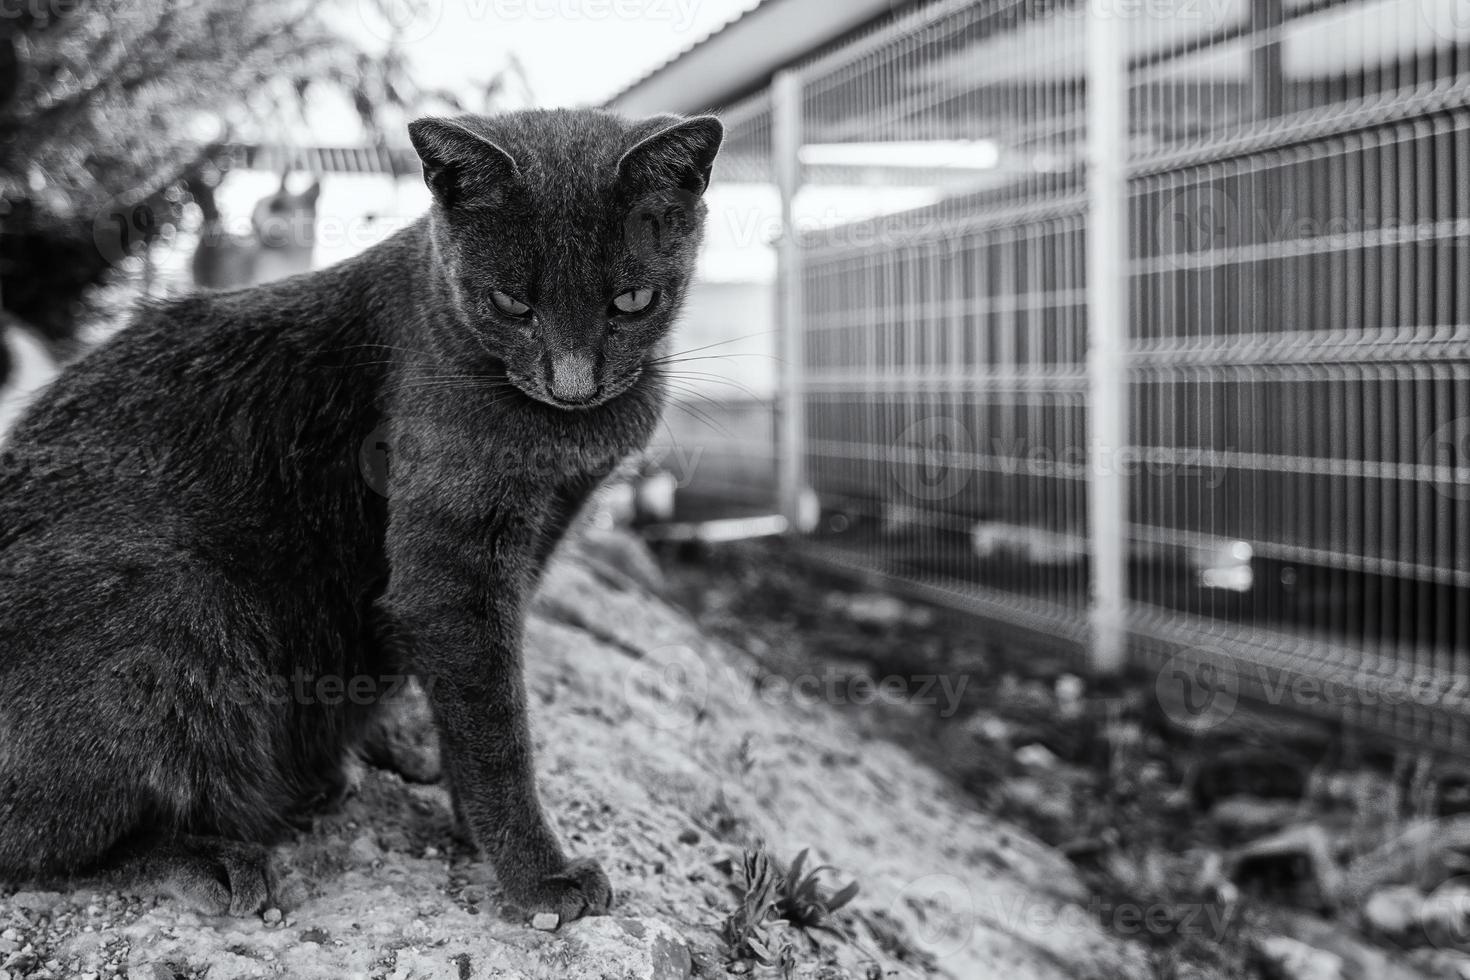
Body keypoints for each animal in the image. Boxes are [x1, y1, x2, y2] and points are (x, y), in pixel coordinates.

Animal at [0, 110, 723, 922]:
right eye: (512, 305)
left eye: (632, 302)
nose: (573, 386)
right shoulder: (451, 562)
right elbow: (495, 727)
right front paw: (540, 876)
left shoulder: (545, 530)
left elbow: (477, 708)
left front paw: (476, 831)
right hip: (178, 600)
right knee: (44, 845)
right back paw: (212, 858)